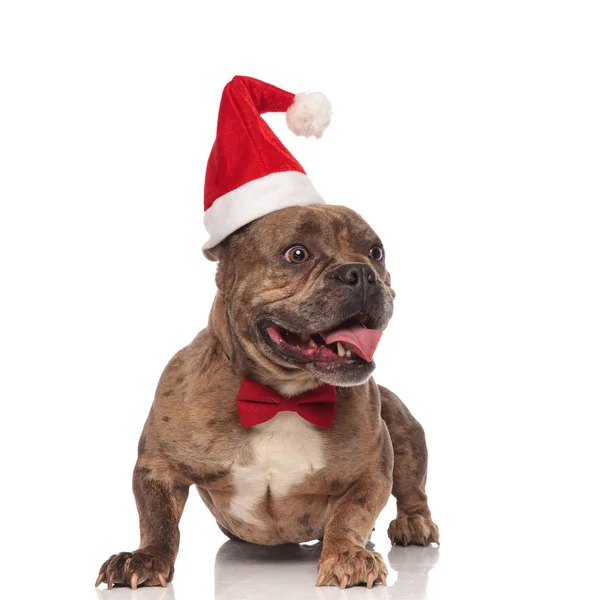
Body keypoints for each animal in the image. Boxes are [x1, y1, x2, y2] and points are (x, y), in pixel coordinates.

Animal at [95, 204, 440, 588]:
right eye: (297, 254)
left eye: (376, 253)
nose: (361, 273)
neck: (283, 397)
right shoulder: (159, 464)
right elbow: (158, 518)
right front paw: (144, 557)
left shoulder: (372, 471)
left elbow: (352, 513)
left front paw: (346, 554)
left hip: (403, 427)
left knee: (412, 488)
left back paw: (414, 523)